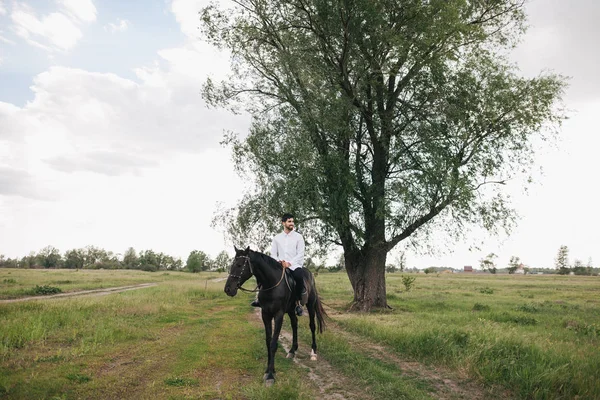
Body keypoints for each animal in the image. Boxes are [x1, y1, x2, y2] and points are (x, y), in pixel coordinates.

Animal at [225, 245, 328, 386]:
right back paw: (292, 351)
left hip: (310, 305)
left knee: (312, 326)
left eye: (240, 265)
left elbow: (274, 343)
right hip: (290, 310)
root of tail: (310, 274)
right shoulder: (265, 314)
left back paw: (313, 352)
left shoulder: (278, 315)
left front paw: (270, 376)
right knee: (294, 324)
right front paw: (269, 370)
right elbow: (268, 342)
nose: (228, 289)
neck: (271, 285)